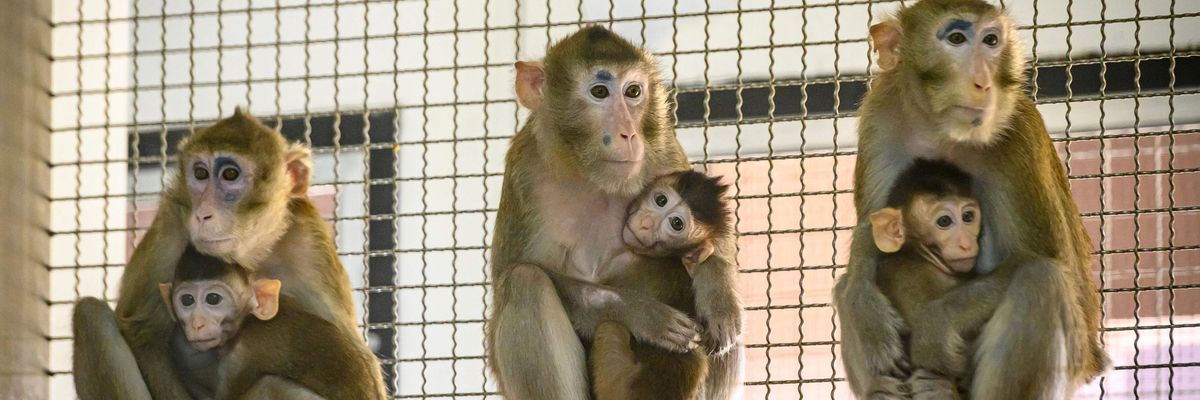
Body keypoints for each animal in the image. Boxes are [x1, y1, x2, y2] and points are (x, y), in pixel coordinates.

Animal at [160, 245, 385, 400]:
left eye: (213, 299)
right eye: (187, 300)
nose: (197, 323)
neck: (248, 321)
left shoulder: (244, 353)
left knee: (270, 384)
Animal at [488, 26, 744, 399]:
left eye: (633, 92)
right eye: (599, 92)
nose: (629, 134)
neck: (589, 173)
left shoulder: (662, 151)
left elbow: (714, 241)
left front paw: (715, 284)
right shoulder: (524, 172)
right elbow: (513, 273)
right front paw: (638, 314)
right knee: (525, 281)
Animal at [832, 1, 1109, 399]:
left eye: (991, 41)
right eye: (956, 39)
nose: (983, 83)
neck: (942, 132)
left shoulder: (1017, 136)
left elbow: (1057, 264)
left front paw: (935, 324)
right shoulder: (881, 116)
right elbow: (873, 232)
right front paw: (862, 304)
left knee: (1041, 279)